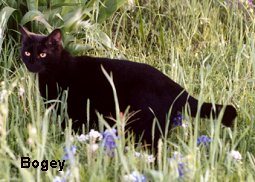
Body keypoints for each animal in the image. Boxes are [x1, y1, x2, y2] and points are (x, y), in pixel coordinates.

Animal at [19, 27, 237, 149]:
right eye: (28, 52)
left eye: (43, 54)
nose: (32, 63)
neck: (53, 73)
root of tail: (178, 89)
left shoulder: (73, 112)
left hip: (146, 127)